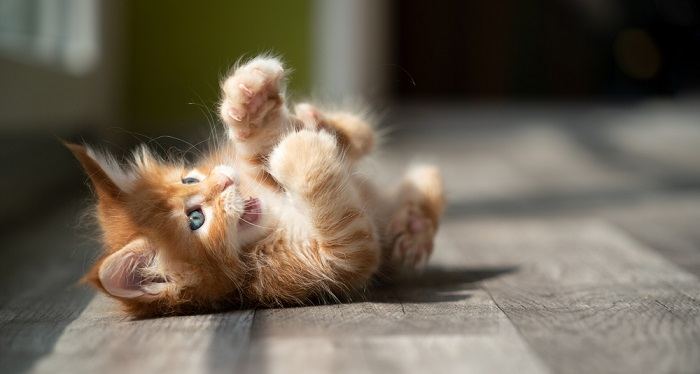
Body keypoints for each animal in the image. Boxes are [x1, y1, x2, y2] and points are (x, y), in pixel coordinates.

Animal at [68, 56, 446, 318]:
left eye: (190, 179)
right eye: (195, 220)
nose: (224, 181)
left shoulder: (247, 168)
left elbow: (257, 151)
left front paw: (252, 106)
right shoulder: (331, 263)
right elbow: (344, 225)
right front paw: (299, 152)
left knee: (362, 137)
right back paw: (412, 225)